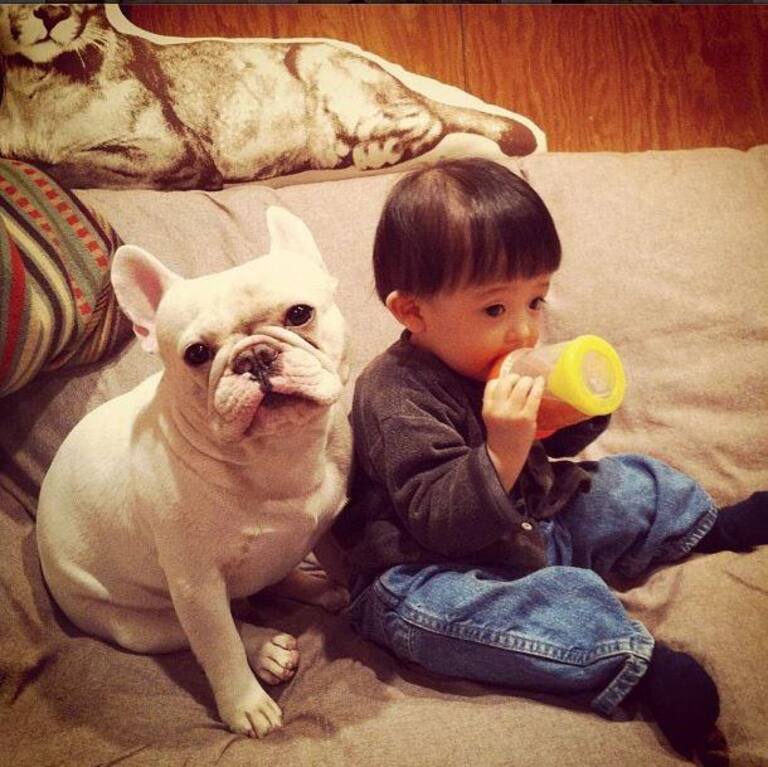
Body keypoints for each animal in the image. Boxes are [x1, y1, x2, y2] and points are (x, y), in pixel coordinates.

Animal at [0, 3, 538, 190]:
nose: (51, 13)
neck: (31, 84)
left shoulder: (174, 152)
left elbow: (71, 166)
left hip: (319, 63)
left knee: (428, 115)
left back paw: (374, 150)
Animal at [36, 206, 352, 738]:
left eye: (299, 313)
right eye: (197, 354)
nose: (253, 356)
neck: (277, 452)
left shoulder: (329, 523)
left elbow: (339, 556)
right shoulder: (196, 585)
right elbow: (220, 647)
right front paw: (245, 705)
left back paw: (316, 588)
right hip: (140, 628)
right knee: (222, 627)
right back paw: (265, 650)